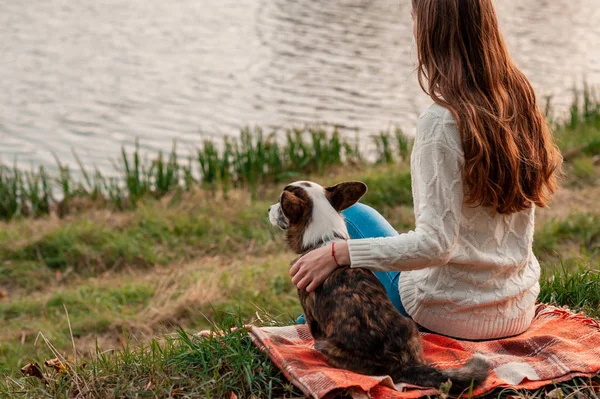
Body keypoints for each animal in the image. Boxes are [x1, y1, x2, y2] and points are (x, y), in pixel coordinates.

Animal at [270, 181, 490, 394]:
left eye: (281, 205)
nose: (268, 209)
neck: (324, 237)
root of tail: (402, 364)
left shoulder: (310, 311)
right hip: (410, 327)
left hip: (326, 345)